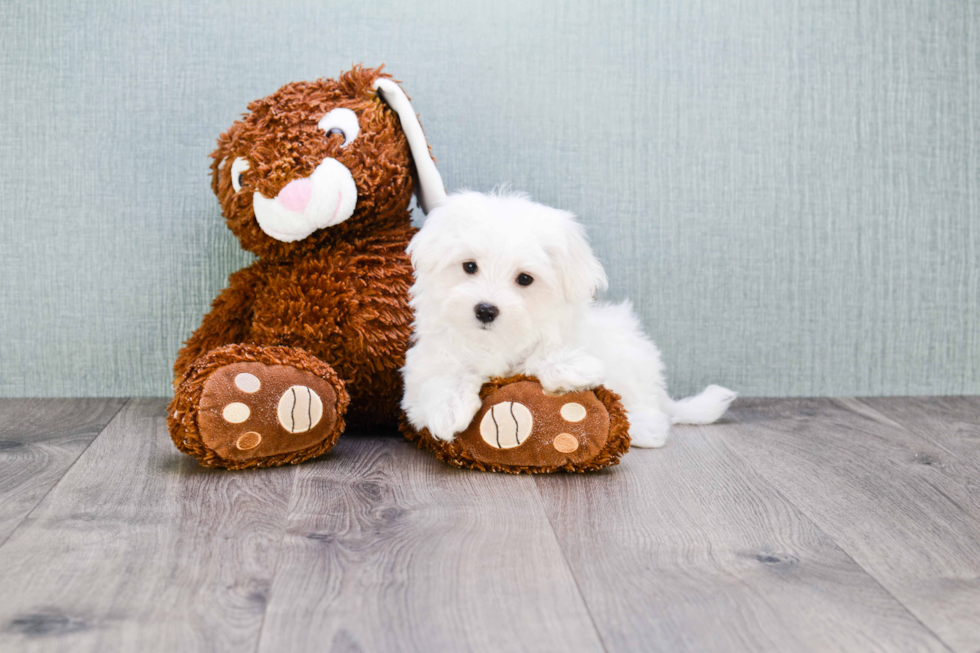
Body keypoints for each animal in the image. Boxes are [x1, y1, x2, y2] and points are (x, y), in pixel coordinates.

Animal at [400, 190, 736, 448]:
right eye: (469, 266)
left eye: (524, 279)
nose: (485, 309)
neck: (496, 341)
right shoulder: (428, 362)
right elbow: (441, 376)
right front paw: (449, 409)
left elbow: (541, 357)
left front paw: (571, 367)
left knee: (647, 408)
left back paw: (644, 429)